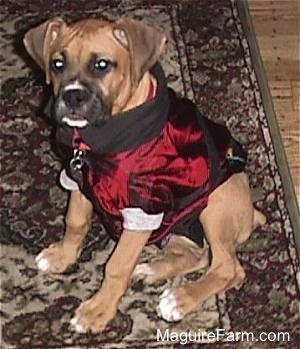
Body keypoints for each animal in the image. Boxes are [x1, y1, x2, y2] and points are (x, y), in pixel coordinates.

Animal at [24, 17, 266, 334]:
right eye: (57, 64)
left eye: (102, 65)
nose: (72, 96)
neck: (97, 139)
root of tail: (252, 214)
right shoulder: (76, 177)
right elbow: (75, 223)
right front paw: (62, 256)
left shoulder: (142, 208)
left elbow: (116, 266)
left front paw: (98, 310)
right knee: (200, 256)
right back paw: (152, 270)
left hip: (215, 202)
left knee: (227, 267)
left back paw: (179, 299)